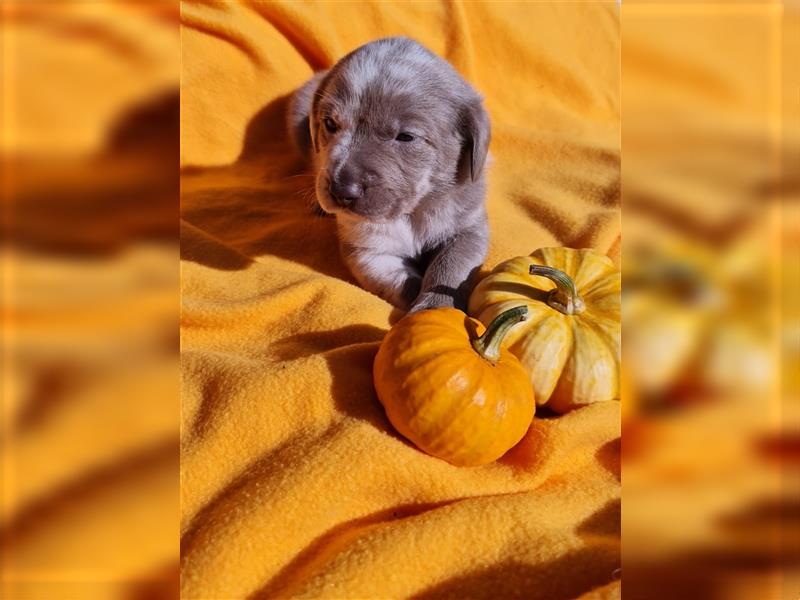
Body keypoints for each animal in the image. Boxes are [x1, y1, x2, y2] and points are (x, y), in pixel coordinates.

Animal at [284, 37, 490, 312]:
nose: (341, 191)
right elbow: (399, 282)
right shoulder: (366, 249)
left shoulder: (469, 229)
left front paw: (435, 306)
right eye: (330, 124)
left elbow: (451, 267)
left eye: (406, 137)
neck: (412, 212)